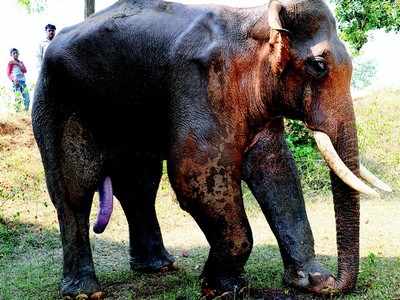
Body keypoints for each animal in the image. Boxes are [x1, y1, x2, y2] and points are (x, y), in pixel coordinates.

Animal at [32, 0, 390, 298]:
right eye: (318, 66)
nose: (336, 285)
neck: (253, 19)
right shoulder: (200, 83)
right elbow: (196, 178)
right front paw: (223, 289)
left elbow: (278, 172)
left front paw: (311, 281)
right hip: (57, 100)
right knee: (74, 188)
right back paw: (84, 292)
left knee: (139, 185)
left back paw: (159, 266)